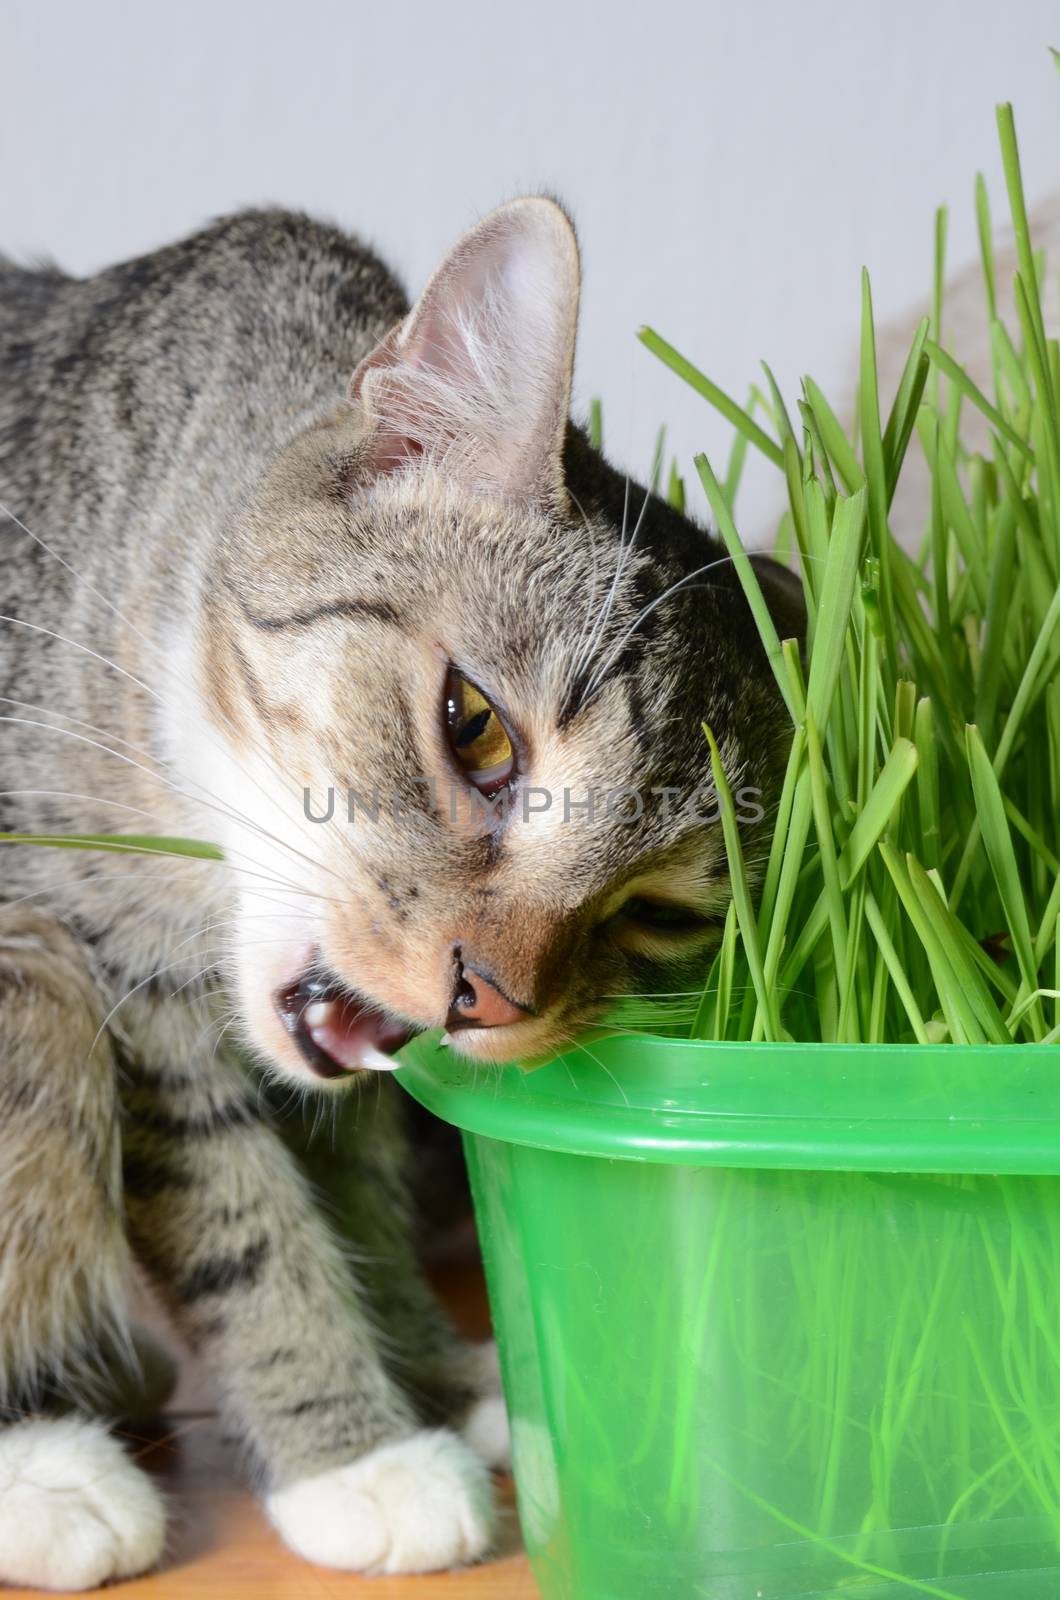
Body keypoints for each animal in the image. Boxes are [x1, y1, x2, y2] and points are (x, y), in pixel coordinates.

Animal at [0, 203, 797, 1587]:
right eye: (475, 727)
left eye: (656, 914)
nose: (489, 995)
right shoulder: (121, 977)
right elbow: (244, 1222)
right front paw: (353, 1454)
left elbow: (357, 1191)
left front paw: (436, 1376)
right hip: (32, 979)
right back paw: (48, 1477)